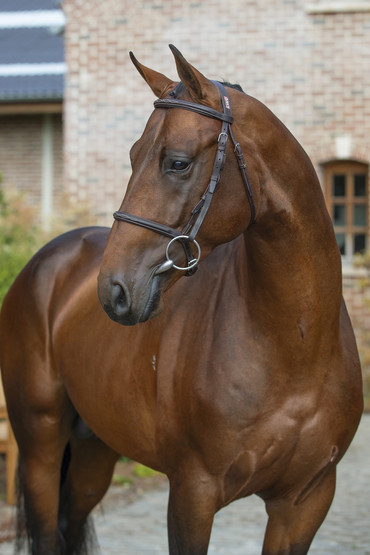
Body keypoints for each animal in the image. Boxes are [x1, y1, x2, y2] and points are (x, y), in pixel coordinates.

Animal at [0, 45, 364, 552]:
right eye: (133, 155)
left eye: (177, 162)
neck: (296, 345)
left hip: (94, 451)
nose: (113, 290)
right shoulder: (193, 493)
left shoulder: (304, 503)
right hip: (40, 447)